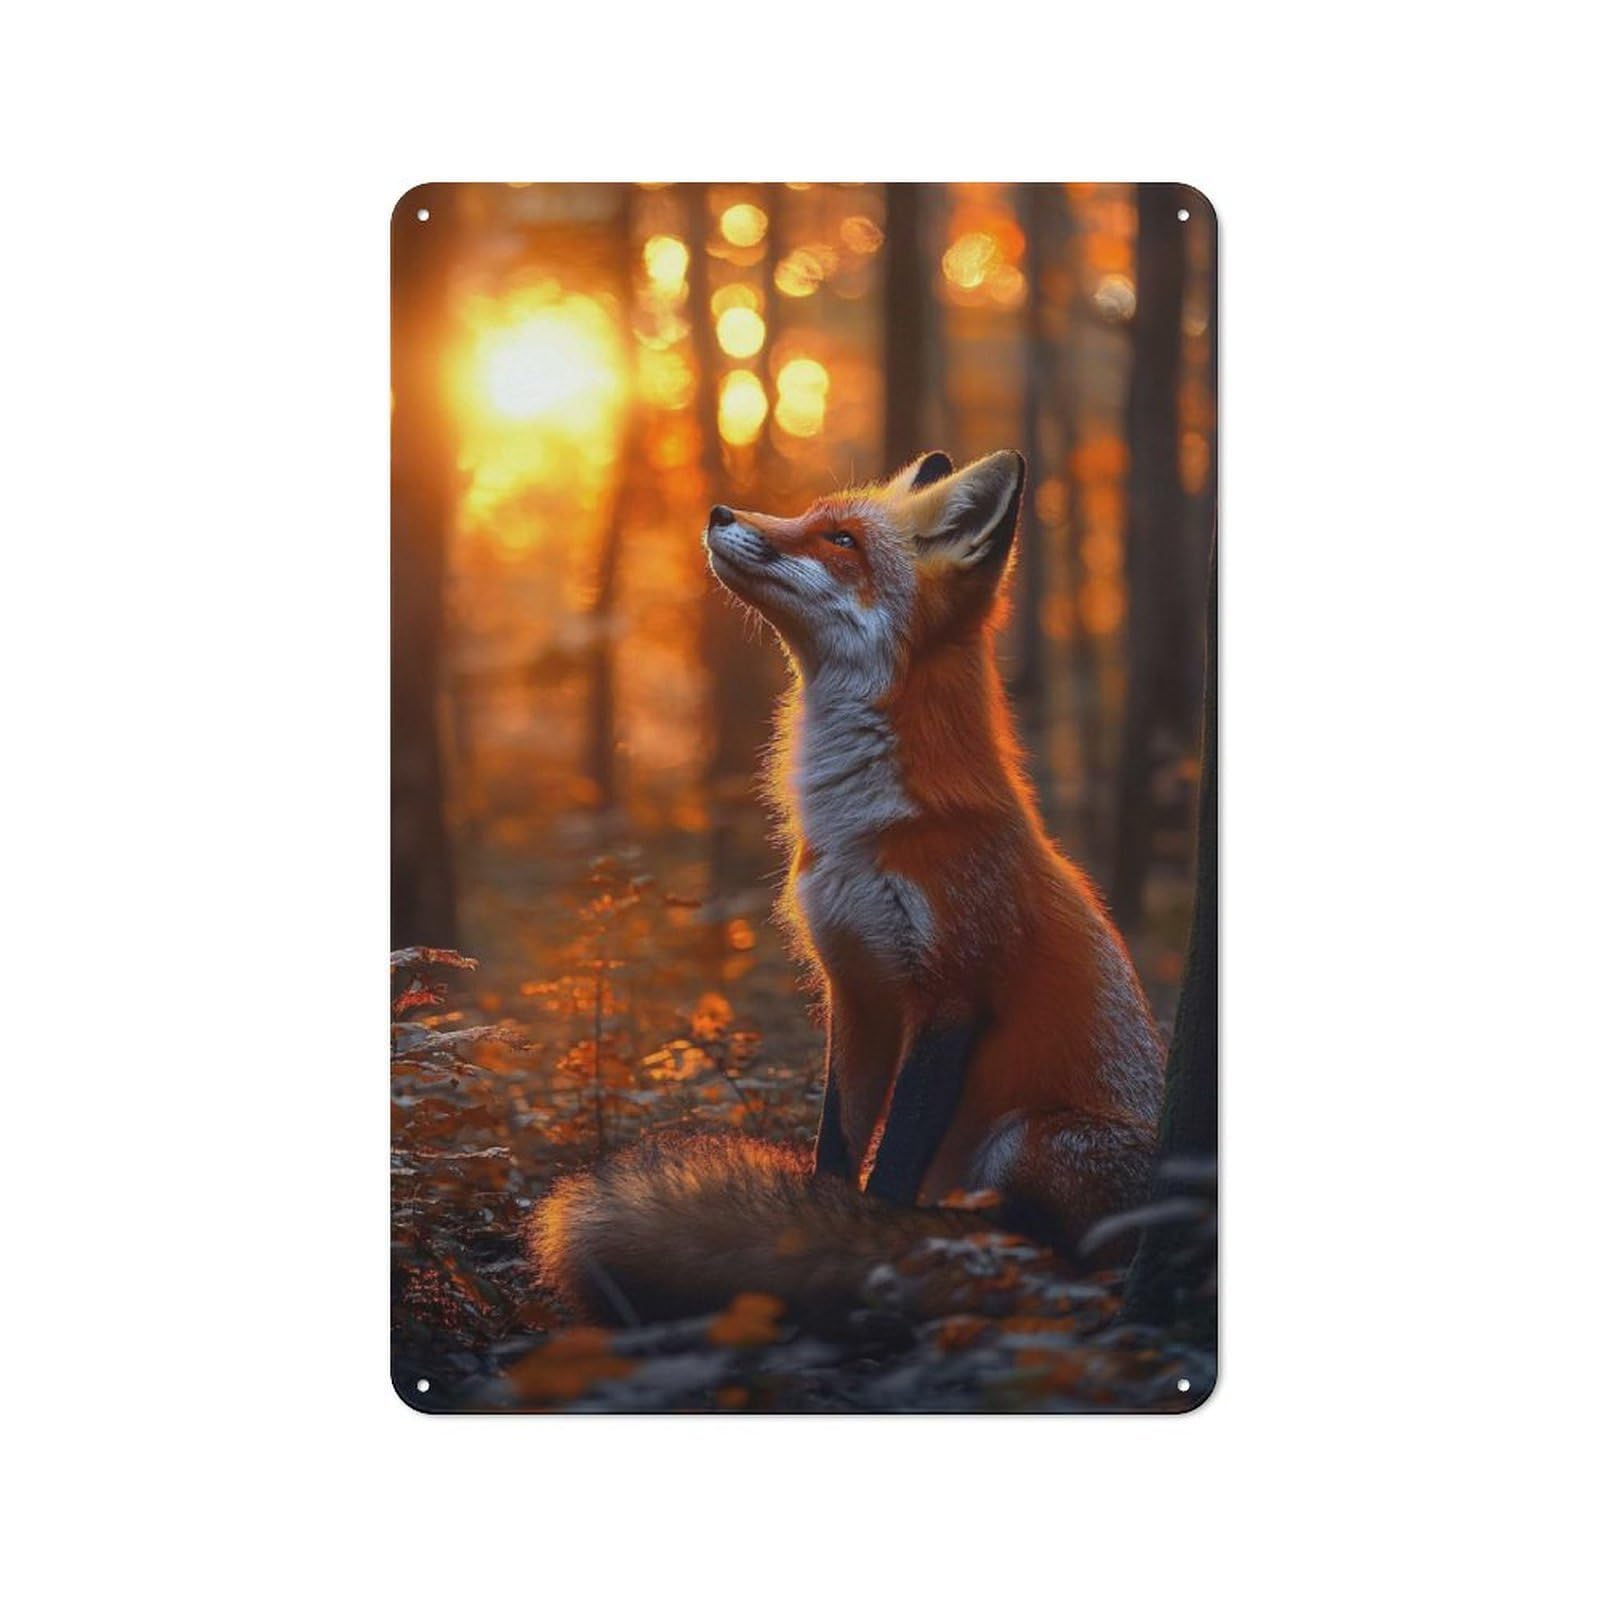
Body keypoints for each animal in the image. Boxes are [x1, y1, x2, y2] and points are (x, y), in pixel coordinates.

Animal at [532, 449, 1166, 1329]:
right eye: (809, 515)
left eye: (840, 540)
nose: (720, 512)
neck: (858, 830)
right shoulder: (855, 988)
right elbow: (837, 1148)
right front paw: (819, 1224)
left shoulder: (954, 993)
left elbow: (892, 1167)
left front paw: (876, 1245)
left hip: (1036, 1137)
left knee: (1060, 1251)